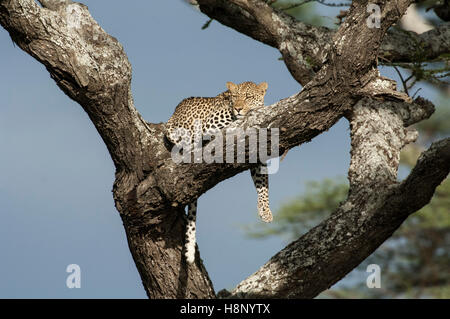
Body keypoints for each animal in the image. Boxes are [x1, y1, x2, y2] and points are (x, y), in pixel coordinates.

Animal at [164, 80, 270, 264]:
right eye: (235, 96)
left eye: (249, 97)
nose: (238, 108)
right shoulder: (211, 124)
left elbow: (262, 184)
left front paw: (265, 211)